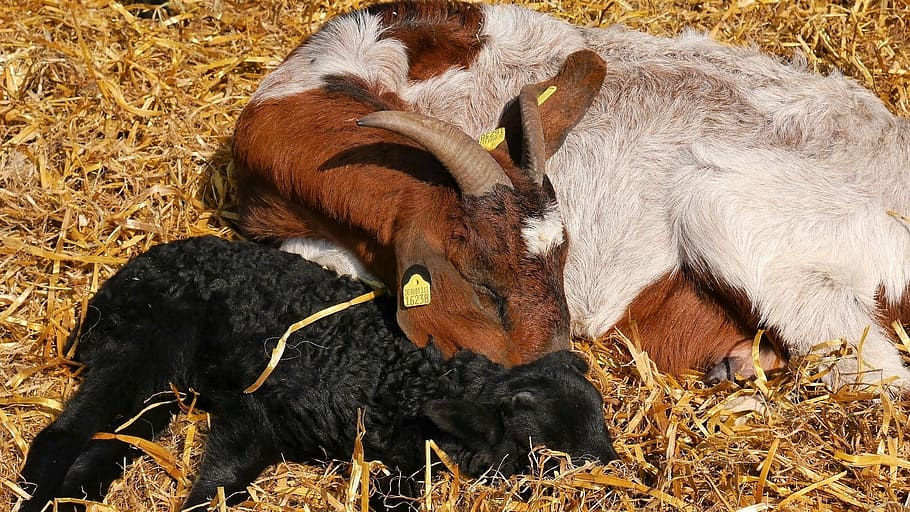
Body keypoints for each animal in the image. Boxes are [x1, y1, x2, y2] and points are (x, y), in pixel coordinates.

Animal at [17, 236, 616, 512]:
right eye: (545, 449)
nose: (613, 467)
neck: (402, 380)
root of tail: (104, 295)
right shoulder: (254, 413)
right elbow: (219, 484)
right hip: (141, 351)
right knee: (59, 437)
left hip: (157, 390)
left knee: (103, 445)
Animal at [237, 0, 910, 390]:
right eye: (481, 286)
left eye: (563, 265)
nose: (559, 374)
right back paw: (737, 363)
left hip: (725, 209)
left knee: (878, 372)